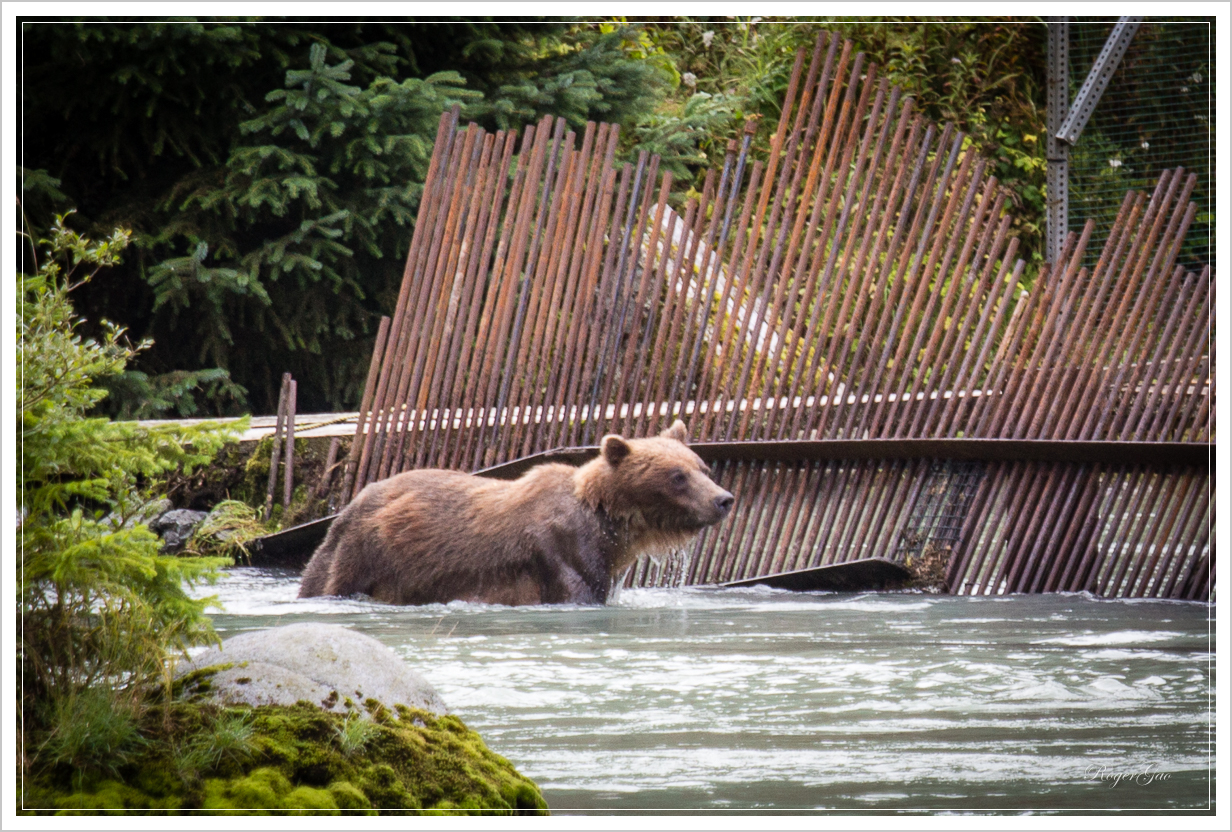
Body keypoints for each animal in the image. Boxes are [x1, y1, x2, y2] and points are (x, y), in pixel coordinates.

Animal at [300, 424, 729, 606]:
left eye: (703, 467)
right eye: (677, 476)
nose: (724, 499)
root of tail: (353, 501)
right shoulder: (563, 553)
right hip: (363, 554)